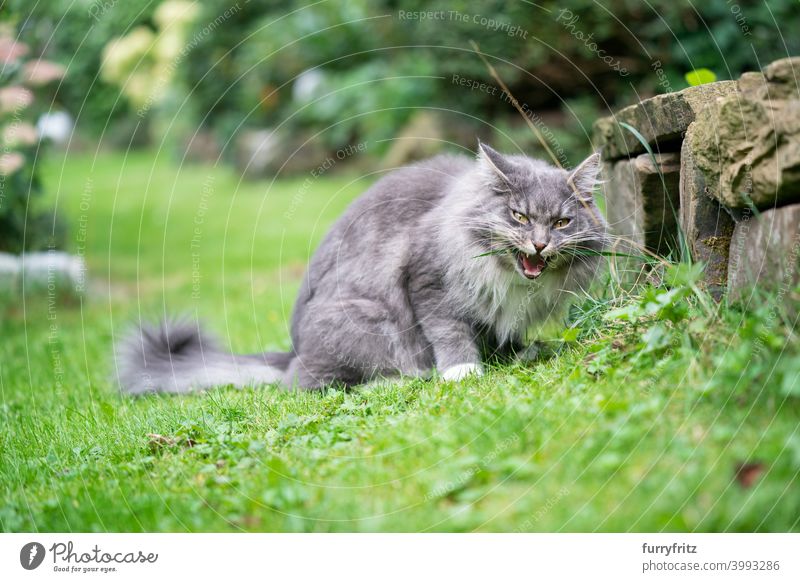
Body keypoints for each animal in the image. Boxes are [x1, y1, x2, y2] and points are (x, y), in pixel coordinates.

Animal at [117, 144, 608, 394]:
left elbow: (499, 333)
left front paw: (520, 353)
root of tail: (293, 351)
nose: (539, 244)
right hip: (363, 319)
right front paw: (463, 371)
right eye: (518, 217)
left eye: (562, 223)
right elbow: (450, 332)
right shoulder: (426, 280)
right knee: (312, 384)